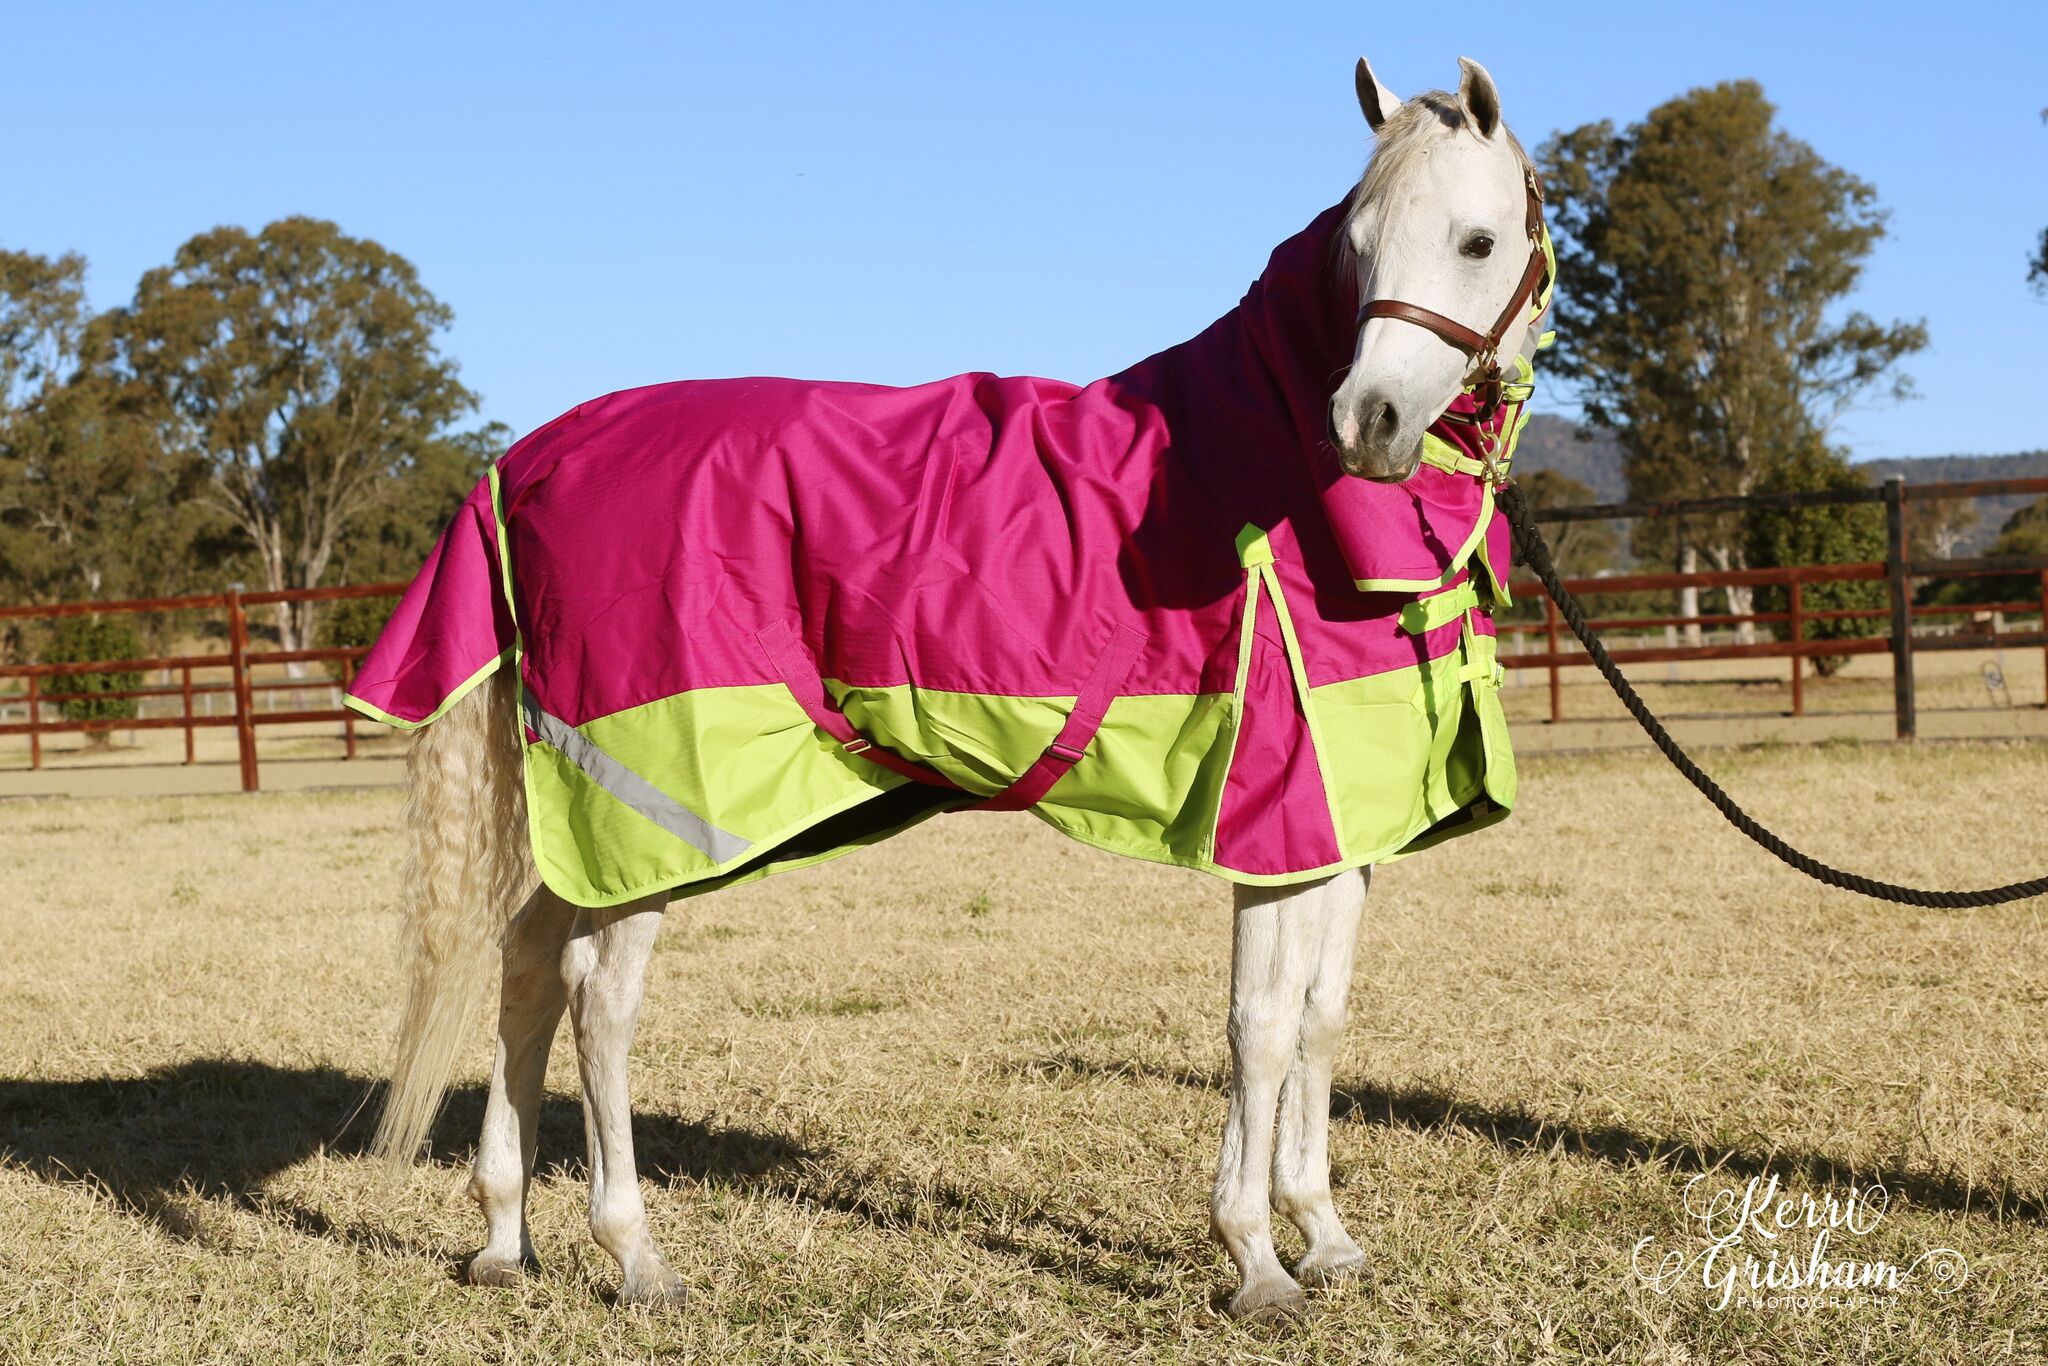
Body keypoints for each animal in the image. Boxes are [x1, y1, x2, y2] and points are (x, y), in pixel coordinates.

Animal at [363, 54, 1549, 1323]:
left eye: (1475, 240)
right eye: (1356, 246)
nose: (1366, 421)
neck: (1269, 479)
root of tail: (525, 459)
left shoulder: (1348, 821)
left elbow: (1321, 1020)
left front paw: (1320, 1232)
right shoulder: (1276, 824)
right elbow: (1260, 1028)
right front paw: (1253, 1256)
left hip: (588, 823)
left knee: (527, 965)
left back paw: (504, 1233)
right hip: (655, 811)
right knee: (599, 998)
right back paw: (631, 1251)